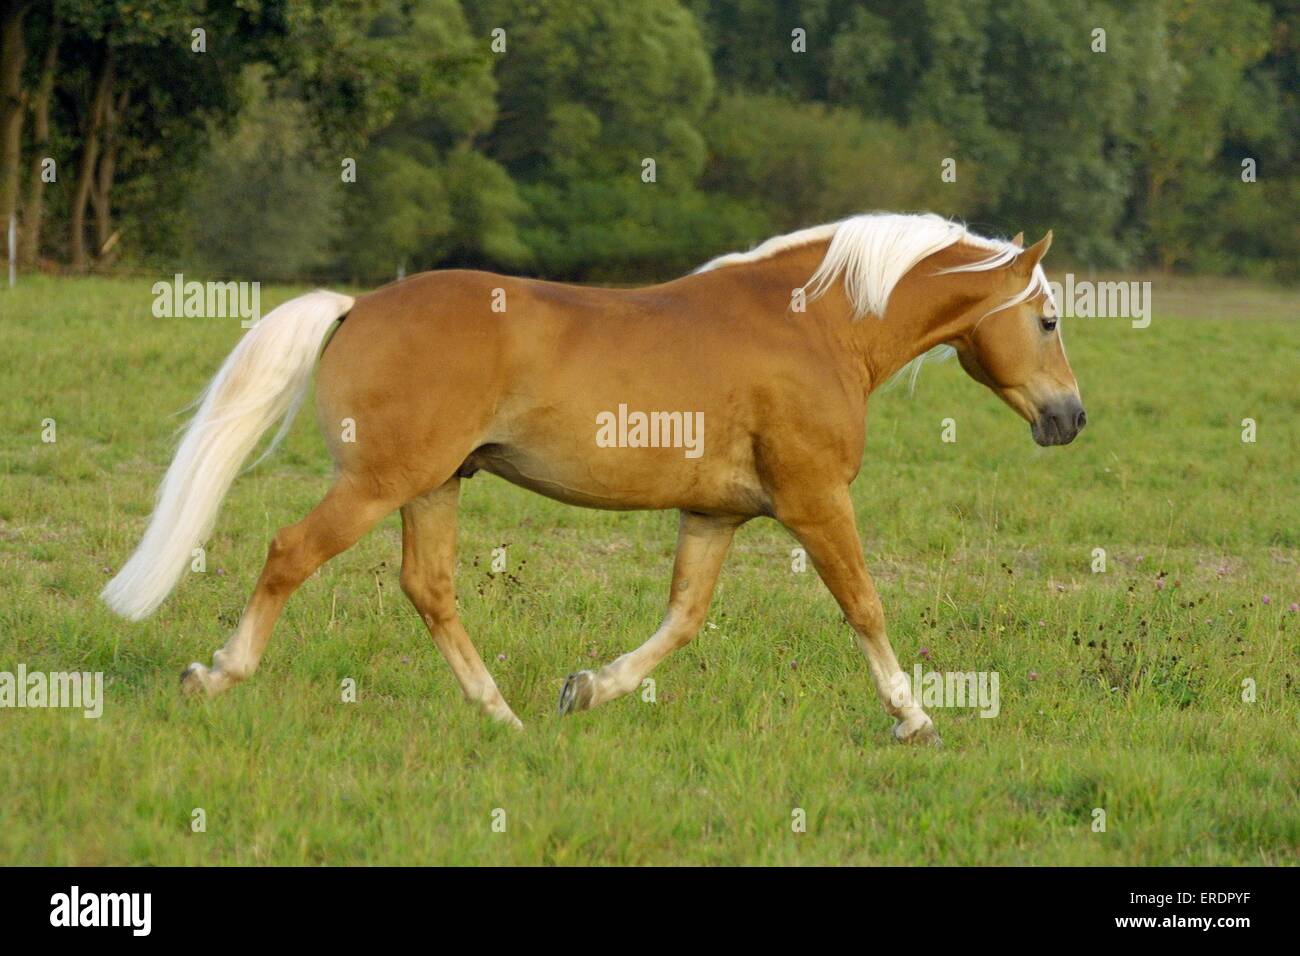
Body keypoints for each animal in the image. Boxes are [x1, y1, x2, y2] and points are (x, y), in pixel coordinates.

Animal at [101, 213, 1081, 743]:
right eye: (1047, 319)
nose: (1069, 419)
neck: (815, 327)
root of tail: (358, 307)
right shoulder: (814, 500)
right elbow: (865, 606)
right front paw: (915, 719)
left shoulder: (715, 515)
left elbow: (683, 619)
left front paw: (588, 688)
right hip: (379, 484)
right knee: (290, 553)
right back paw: (215, 675)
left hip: (435, 485)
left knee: (429, 588)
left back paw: (503, 716)